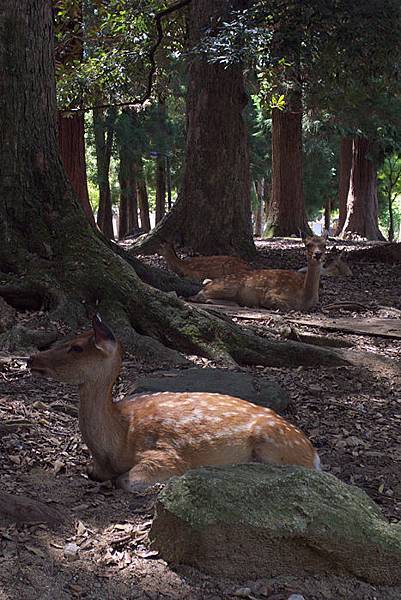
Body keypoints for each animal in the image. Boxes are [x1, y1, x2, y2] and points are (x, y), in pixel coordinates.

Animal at [28, 314, 320, 492]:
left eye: (76, 347)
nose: (32, 358)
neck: (117, 442)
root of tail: (313, 455)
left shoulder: (165, 455)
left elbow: (126, 480)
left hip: (272, 443)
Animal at [189, 232, 326, 312]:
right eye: (308, 245)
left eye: (325, 245)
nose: (318, 254)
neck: (304, 297)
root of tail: (207, 285)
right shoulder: (271, 295)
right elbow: (285, 307)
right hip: (228, 286)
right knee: (200, 295)